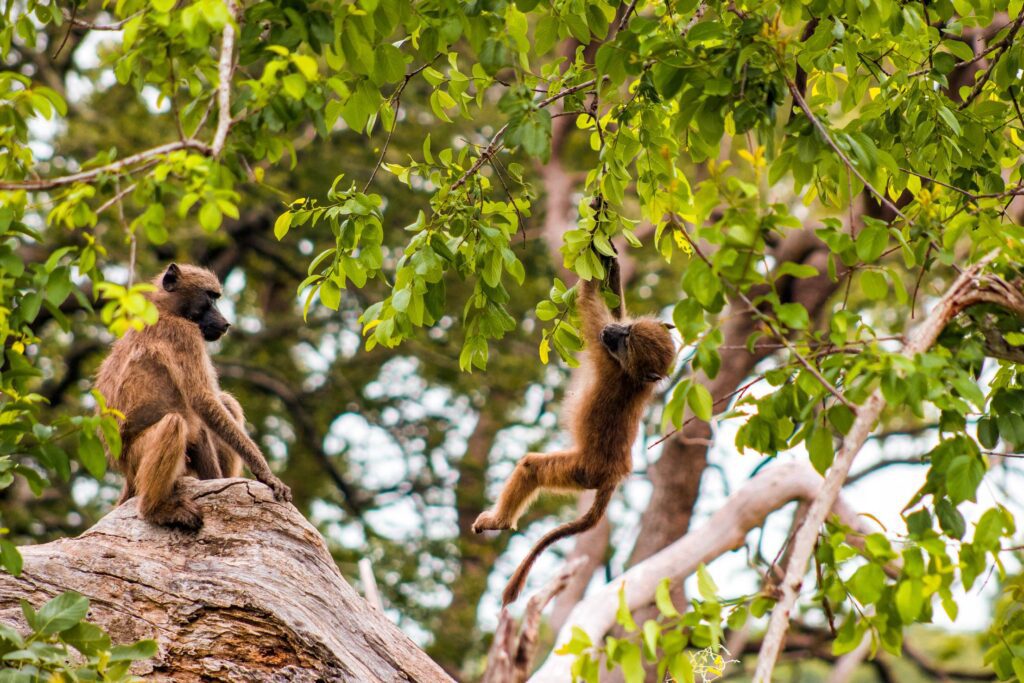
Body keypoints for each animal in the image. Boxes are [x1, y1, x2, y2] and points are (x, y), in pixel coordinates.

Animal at [473, 254, 679, 602]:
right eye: (627, 330)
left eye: (626, 341)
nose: (612, 331)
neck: (635, 378)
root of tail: (614, 474)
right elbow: (611, 301)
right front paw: (609, 251)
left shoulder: (604, 353)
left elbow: (589, 299)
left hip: (580, 470)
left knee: (531, 467)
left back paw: (500, 521)